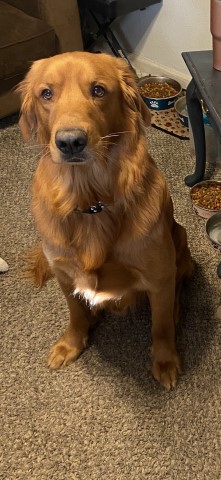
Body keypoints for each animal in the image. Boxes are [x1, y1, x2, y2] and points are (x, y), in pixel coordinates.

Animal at [18, 51, 192, 390]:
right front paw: (71, 343)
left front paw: (165, 360)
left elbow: (161, 325)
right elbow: (75, 313)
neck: (89, 202)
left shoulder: (159, 276)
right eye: (46, 94)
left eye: (98, 90)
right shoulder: (64, 274)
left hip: (180, 241)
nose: (70, 142)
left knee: (177, 288)